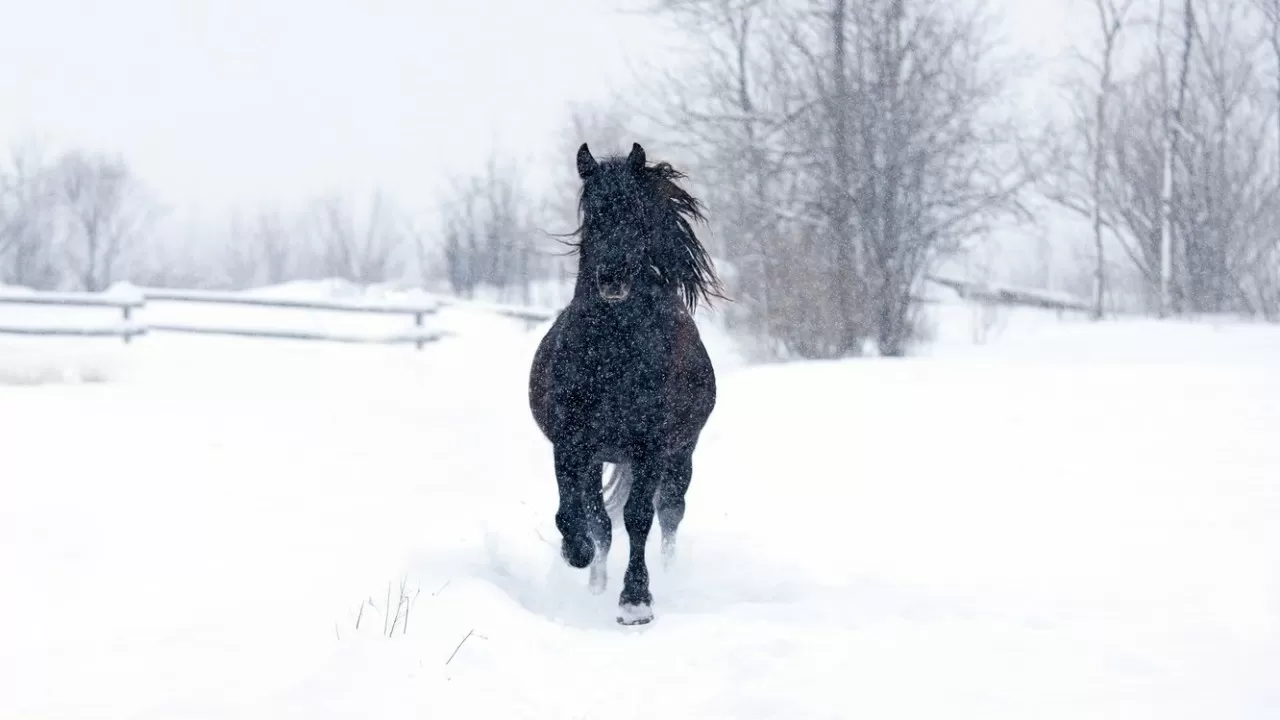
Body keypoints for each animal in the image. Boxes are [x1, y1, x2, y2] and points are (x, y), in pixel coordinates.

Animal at [527, 141, 727, 622]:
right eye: (593, 212)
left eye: (636, 211)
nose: (612, 277)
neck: (613, 354)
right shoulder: (572, 444)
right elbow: (580, 518)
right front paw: (577, 554)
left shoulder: (650, 447)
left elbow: (638, 518)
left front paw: (636, 599)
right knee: (601, 520)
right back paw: (597, 580)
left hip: (681, 456)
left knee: (670, 512)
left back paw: (668, 573)